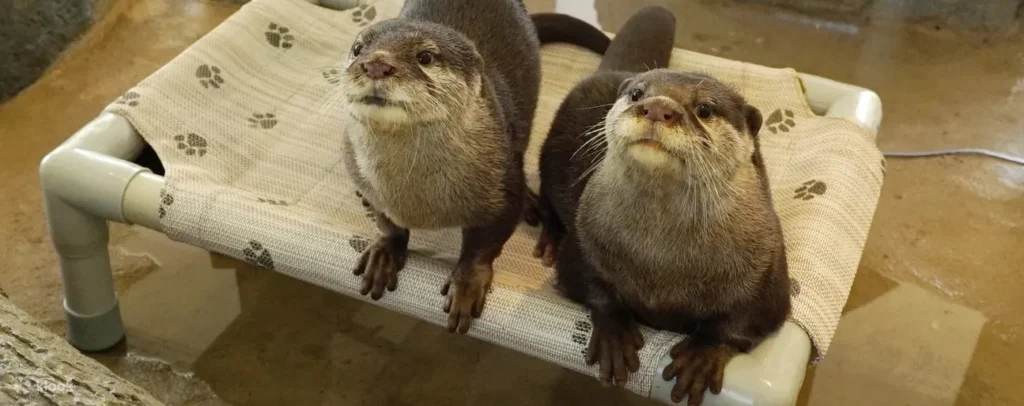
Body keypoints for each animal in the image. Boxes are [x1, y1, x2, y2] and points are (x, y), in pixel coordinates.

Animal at [536, 7, 790, 406]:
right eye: (638, 94)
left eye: (704, 109)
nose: (657, 107)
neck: (661, 262)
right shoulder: (584, 239)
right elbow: (586, 284)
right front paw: (615, 333)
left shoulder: (769, 274)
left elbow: (746, 323)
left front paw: (702, 354)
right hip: (550, 153)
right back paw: (547, 236)